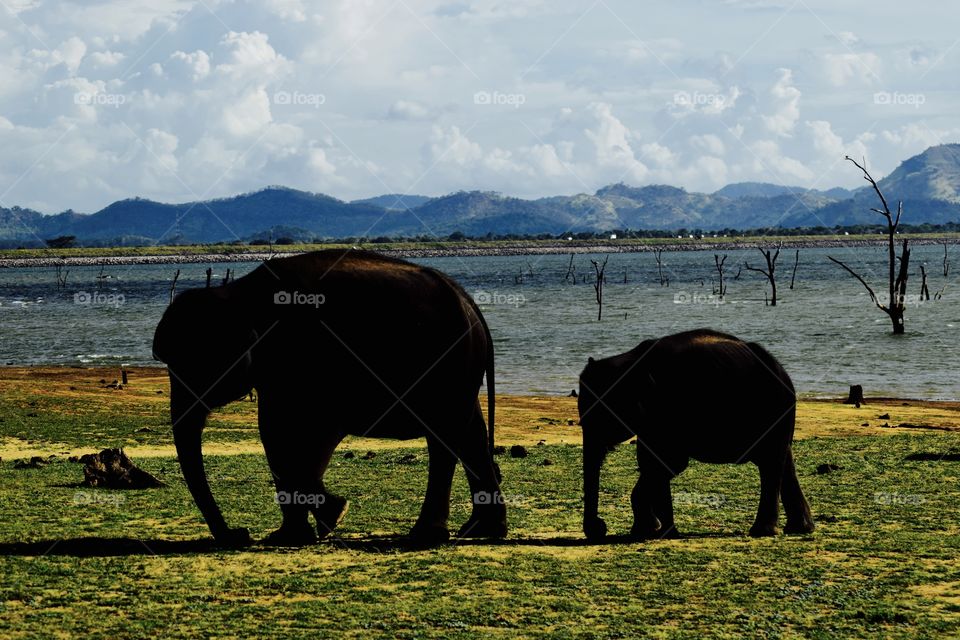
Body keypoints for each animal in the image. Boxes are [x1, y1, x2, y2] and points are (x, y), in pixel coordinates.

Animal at [153, 249, 506, 547]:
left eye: (196, 364)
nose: (237, 534)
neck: (238, 294)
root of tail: (469, 303)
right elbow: (277, 435)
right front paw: (303, 529)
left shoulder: (308, 361)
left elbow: (294, 434)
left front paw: (328, 516)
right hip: (458, 373)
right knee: (467, 436)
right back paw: (476, 530)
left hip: (449, 367)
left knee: (448, 437)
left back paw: (432, 534)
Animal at [577, 328, 814, 540]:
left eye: (600, 417)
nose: (598, 528)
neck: (629, 361)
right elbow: (653, 463)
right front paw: (660, 532)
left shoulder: (666, 409)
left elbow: (669, 464)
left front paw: (649, 530)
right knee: (784, 461)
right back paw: (799, 528)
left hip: (774, 410)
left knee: (771, 463)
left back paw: (762, 531)